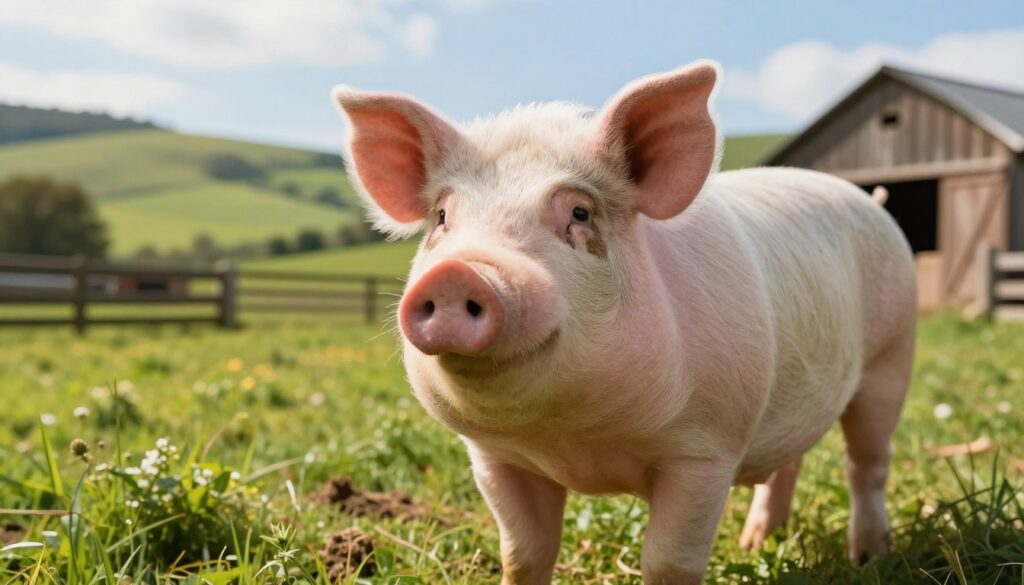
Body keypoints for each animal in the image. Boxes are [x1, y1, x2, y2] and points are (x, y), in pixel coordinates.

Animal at [332, 59, 917, 585]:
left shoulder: (706, 450)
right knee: (789, 462)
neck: (578, 442)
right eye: (442, 218)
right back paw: (757, 544)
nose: (458, 273)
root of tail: (870, 200)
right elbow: (523, 555)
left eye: (579, 213)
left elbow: (669, 562)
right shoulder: (495, 459)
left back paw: (870, 557)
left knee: (867, 464)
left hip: (891, 359)